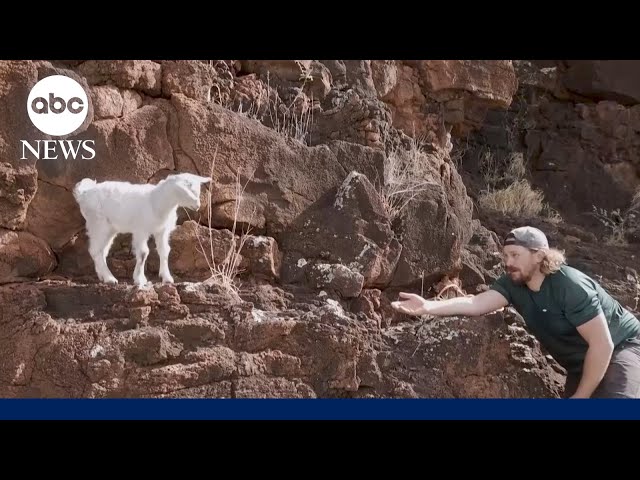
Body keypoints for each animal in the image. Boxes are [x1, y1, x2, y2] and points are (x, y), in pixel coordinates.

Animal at [73, 172, 210, 284]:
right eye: (187, 190)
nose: (197, 205)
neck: (156, 201)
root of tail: (83, 194)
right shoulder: (141, 230)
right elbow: (144, 252)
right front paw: (139, 279)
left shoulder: (162, 231)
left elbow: (165, 250)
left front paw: (167, 278)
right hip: (98, 224)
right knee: (95, 250)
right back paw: (110, 279)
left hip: (110, 228)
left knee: (101, 251)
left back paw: (102, 276)